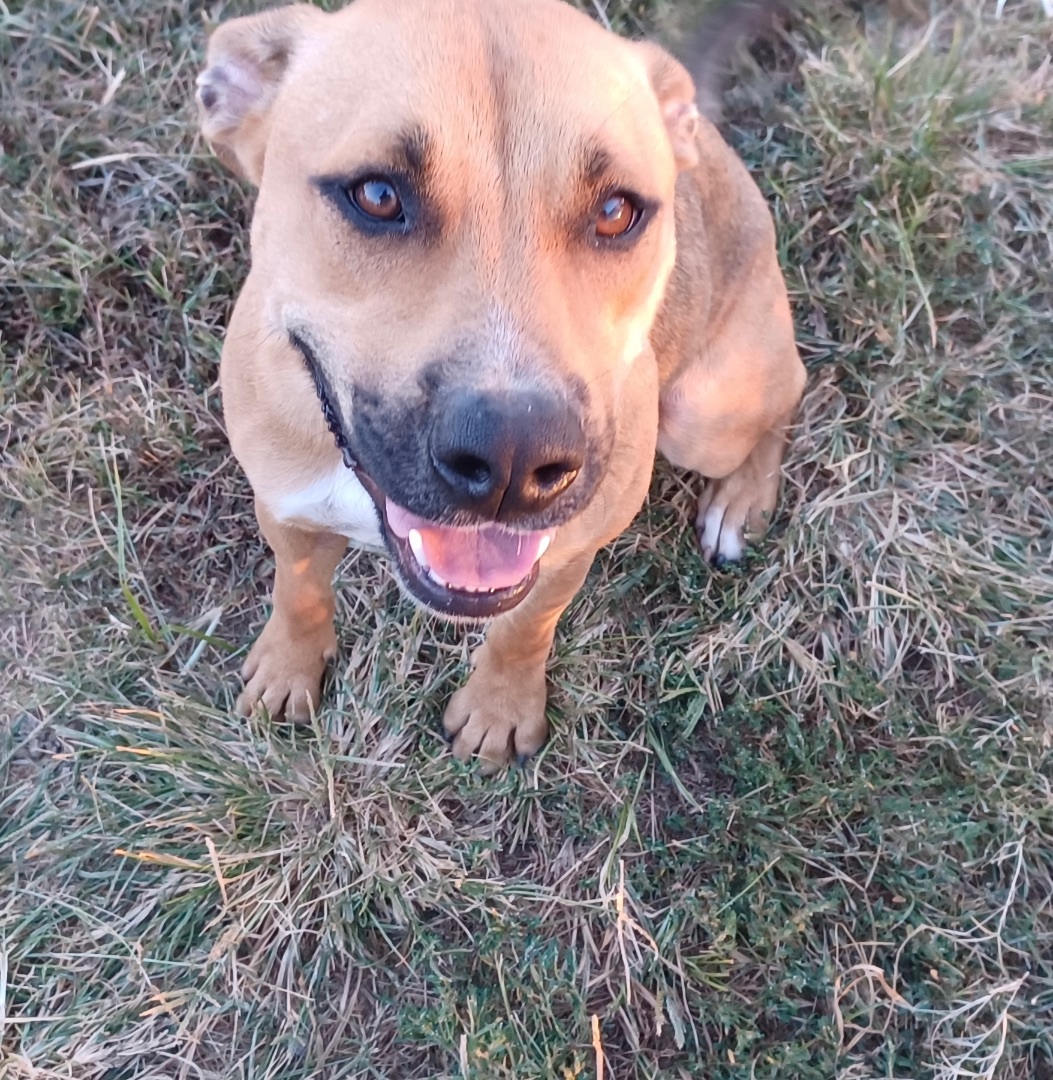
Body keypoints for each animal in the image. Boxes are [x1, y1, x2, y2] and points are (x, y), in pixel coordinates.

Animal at [197, 0, 807, 768]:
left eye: (616, 211)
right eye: (377, 194)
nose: (514, 461)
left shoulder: (566, 553)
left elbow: (523, 631)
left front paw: (498, 710)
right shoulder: (286, 508)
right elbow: (297, 593)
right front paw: (287, 667)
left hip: (703, 414)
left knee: (790, 389)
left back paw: (741, 499)